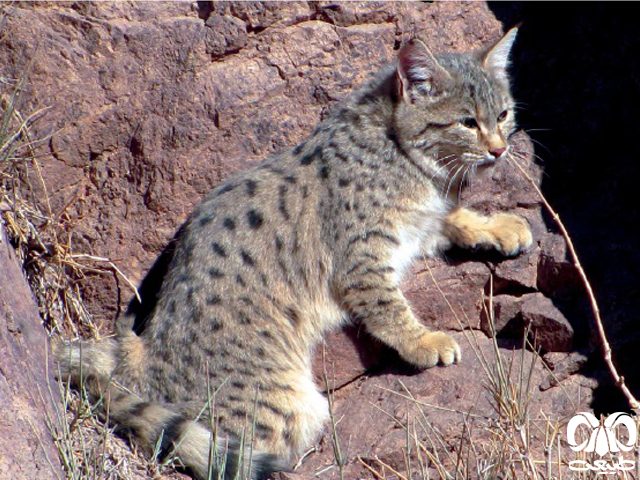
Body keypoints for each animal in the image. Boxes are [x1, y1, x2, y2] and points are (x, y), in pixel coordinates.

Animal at [56, 27, 528, 480]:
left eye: (503, 114)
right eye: (467, 121)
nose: (500, 149)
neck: (402, 152)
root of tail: (137, 355)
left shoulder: (420, 224)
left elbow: (453, 218)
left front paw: (499, 227)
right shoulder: (362, 260)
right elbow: (388, 308)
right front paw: (424, 340)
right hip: (290, 406)